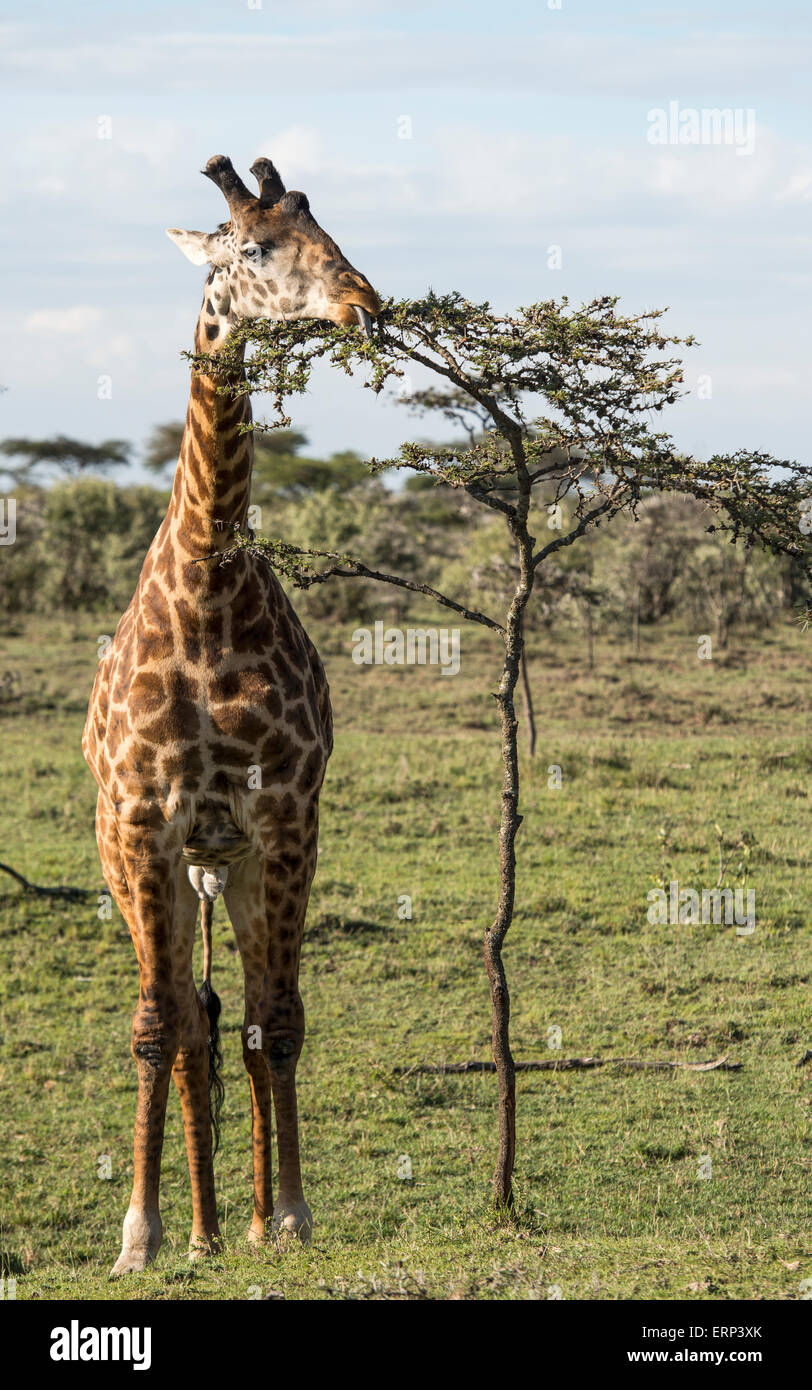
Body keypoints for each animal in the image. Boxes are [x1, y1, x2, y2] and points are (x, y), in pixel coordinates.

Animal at [82, 154, 381, 1275]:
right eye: (252, 247)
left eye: (326, 231)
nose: (362, 302)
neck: (209, 597)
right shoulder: (142, 825)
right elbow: (156, 1028)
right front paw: (140, 1234)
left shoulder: (286, 819)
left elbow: (276, 1022)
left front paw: (288, 1214)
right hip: (150, 862)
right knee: (182, 1024)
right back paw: (199, 1228)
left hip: (233, 861)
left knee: (236, 1024)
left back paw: (239, 1221)